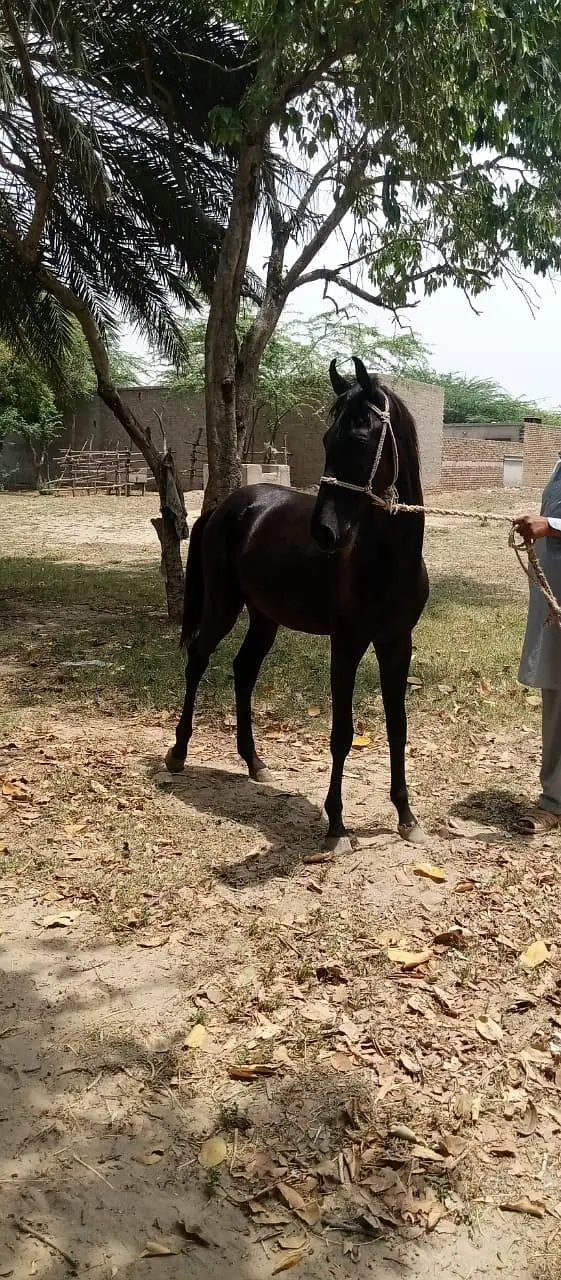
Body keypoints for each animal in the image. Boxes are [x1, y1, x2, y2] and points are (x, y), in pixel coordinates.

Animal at [165, 356, 429, 851]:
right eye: (326, 439)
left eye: (359, 439)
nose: (324, 533)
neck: (386, 559)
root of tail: (227, 507)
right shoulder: (347, 644)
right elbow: (342, 733)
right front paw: (337, 826)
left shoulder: (396, 643)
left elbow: (398, 727)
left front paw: (406, 816)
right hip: (223, 608)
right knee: (197, 660)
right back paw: (178, 752)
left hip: (264, 618)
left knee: (243, 670)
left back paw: (254, 762)